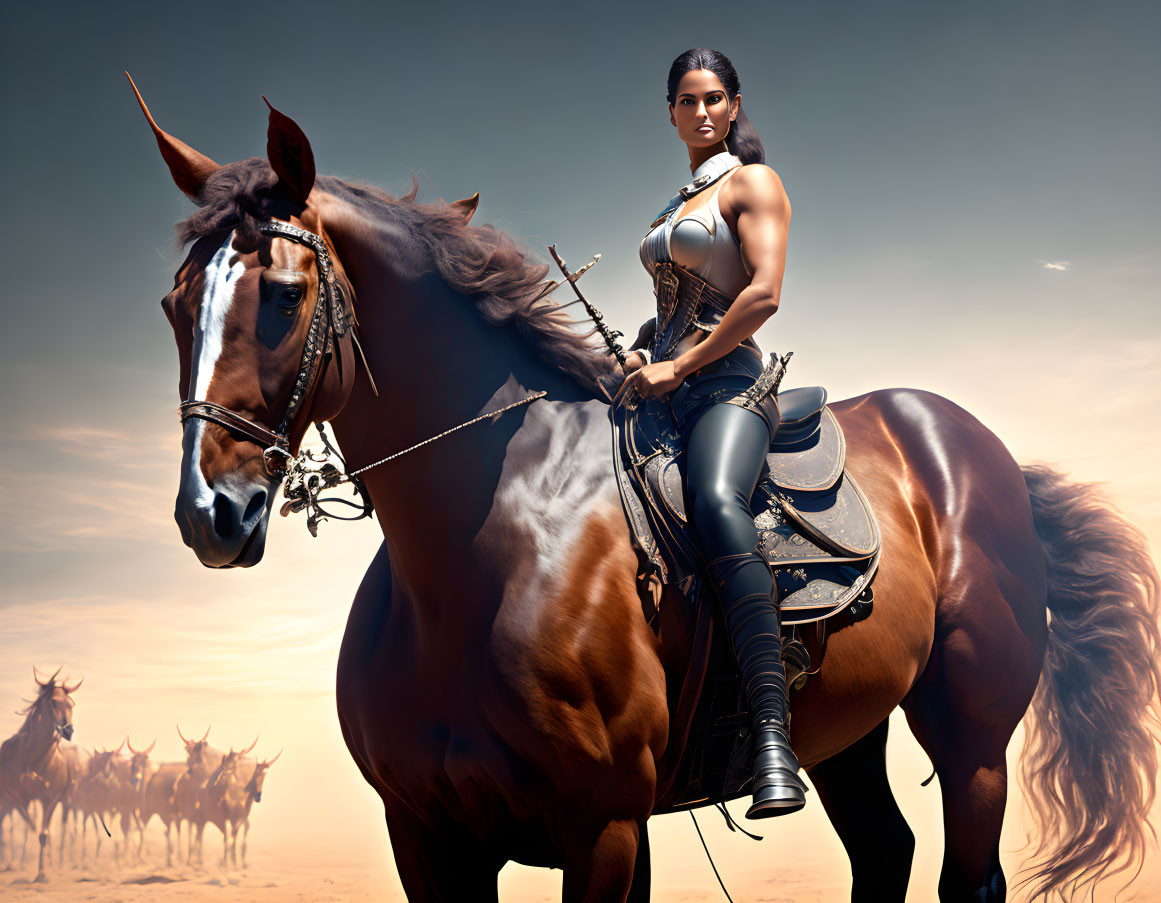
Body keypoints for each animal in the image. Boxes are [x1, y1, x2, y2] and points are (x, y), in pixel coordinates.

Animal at [0, 663, 80, 877]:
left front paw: (43, 873)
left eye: (71, 704)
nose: (68, 730)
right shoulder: (17, 798)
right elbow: (31, 827)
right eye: (54, 702)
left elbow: (43, 834)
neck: (34, 760)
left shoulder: (50, 799)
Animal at [129, 78, 1161, 900]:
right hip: (849, 732)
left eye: (283, 295)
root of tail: (981, 453)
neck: (474, 551)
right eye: (174, 304)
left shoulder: (604, 825)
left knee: (967, 870)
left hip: (971, 739)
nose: (209, 513)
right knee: (883, 852)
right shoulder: (426, 834)